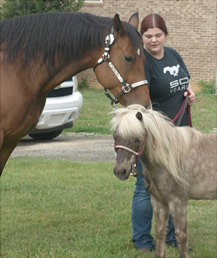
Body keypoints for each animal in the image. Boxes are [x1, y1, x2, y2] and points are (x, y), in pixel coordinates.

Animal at [111, 104, 216, 258]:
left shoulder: (178, 202)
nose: (120, 171)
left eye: (137, 139)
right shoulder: (158, 202)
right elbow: (160, 232)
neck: (172, 158)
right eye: (115, 137)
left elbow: (181, 235)